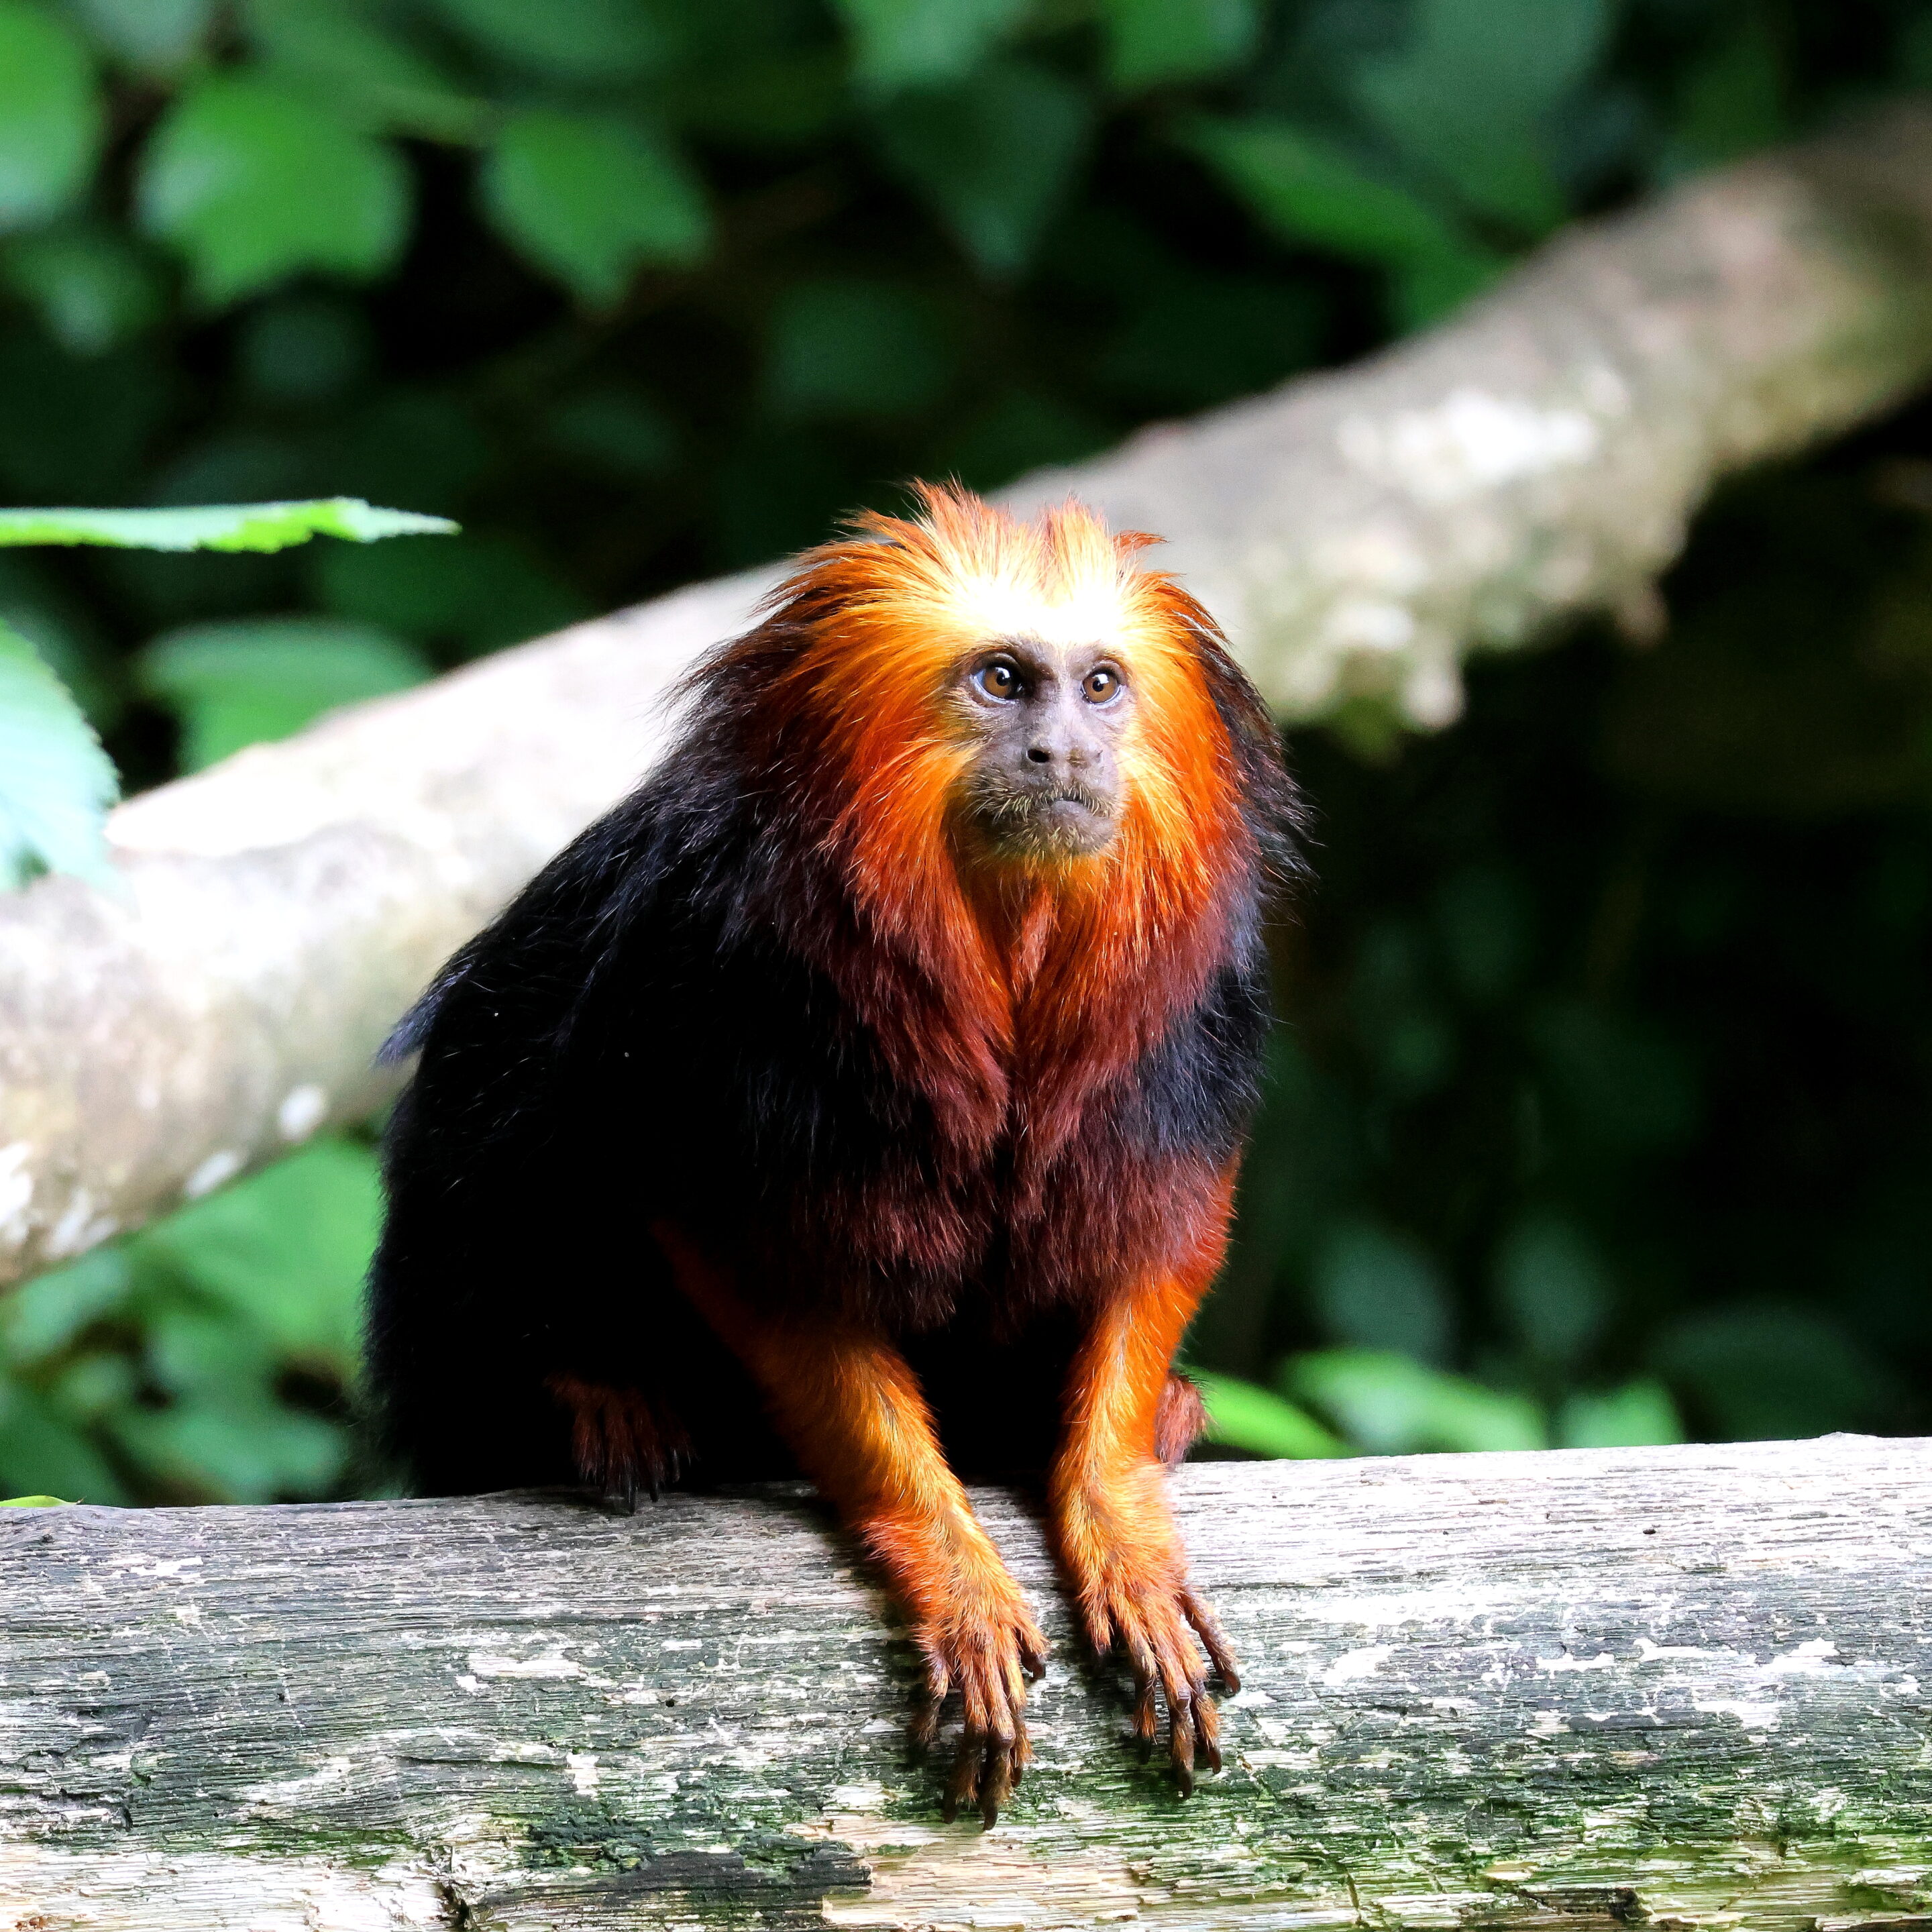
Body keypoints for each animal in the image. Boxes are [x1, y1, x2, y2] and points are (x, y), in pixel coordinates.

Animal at [365, 483, 1302, 1822]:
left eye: (1100, 685)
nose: (1065, 752)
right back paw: (590, 1401)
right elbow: (761, 1269)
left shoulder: (1201, 1030)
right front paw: (954, 1571)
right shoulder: (722, 985)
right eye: (1004, 681)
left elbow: (1154, 1247)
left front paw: (1119, 1512)